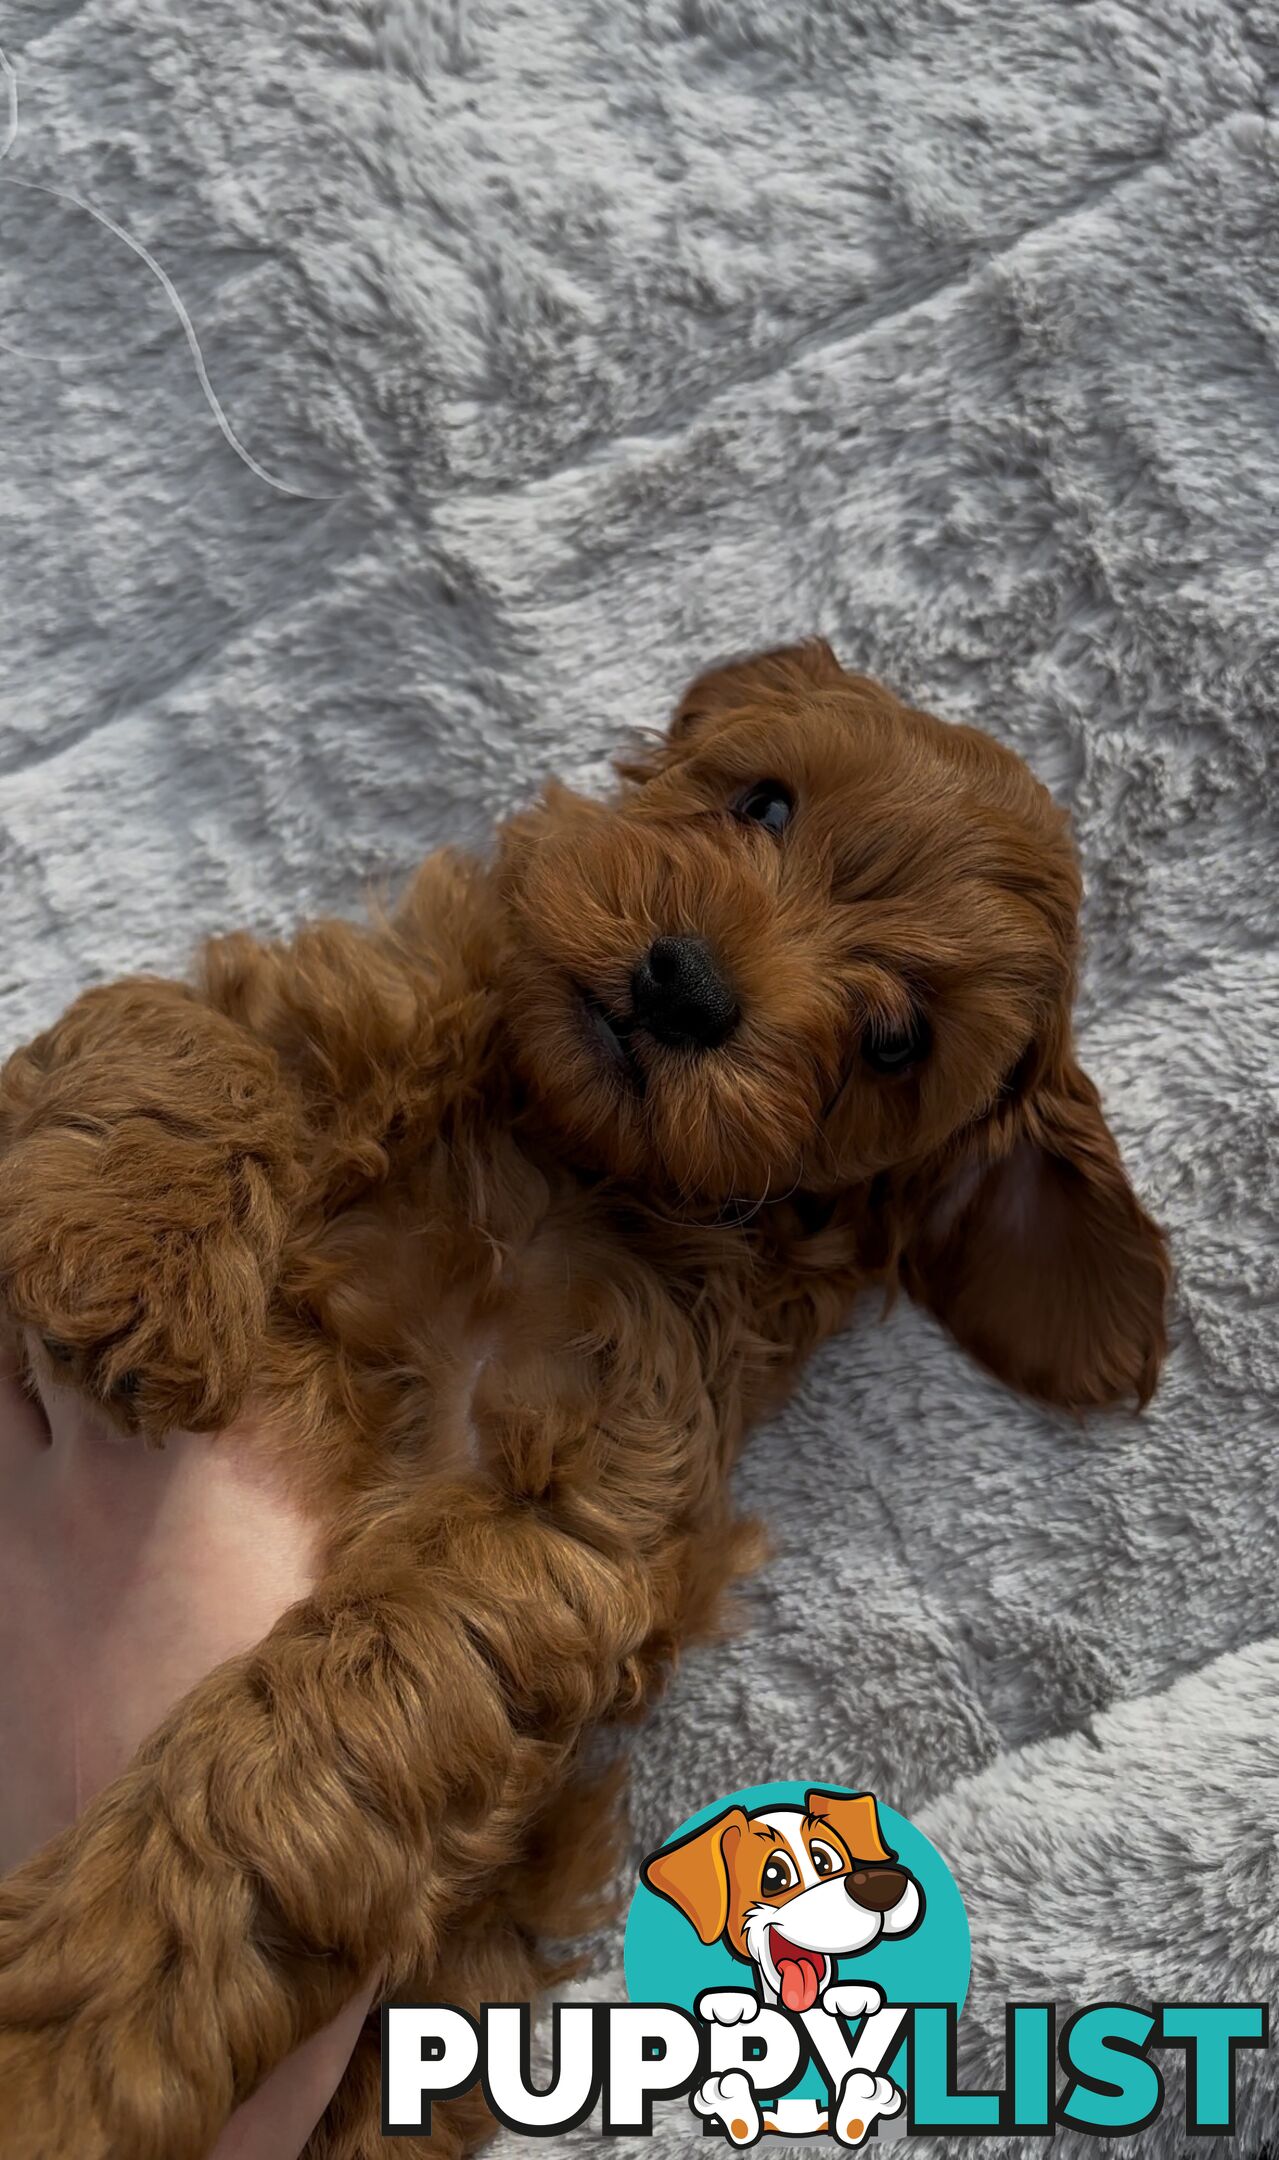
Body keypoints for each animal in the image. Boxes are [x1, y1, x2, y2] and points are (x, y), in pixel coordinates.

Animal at [0, 643, 1166, 2160]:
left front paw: (79, 2042)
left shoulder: (566, 1519)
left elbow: (318, 1735)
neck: (564, 1155)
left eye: (894, 1038)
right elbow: (173, 1025)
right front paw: (127, 1257)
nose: (684, 985)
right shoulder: (333, 995)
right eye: (764, 802)